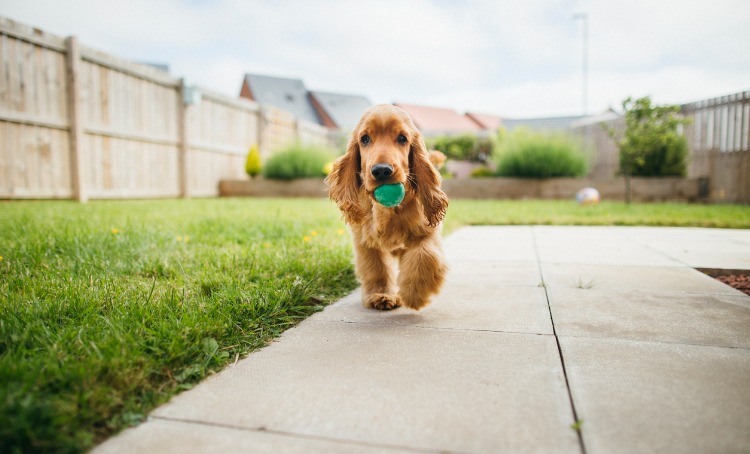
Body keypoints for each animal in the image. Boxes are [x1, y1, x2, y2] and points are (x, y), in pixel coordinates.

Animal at [328, 104, 446, 310]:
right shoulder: (365, 239)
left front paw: (414, 294)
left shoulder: (427, 232)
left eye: (402, 138)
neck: (389, 210)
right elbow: (376, 267)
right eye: (364, 139)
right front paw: (381, 294)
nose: (382, 170)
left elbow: (425, 255)